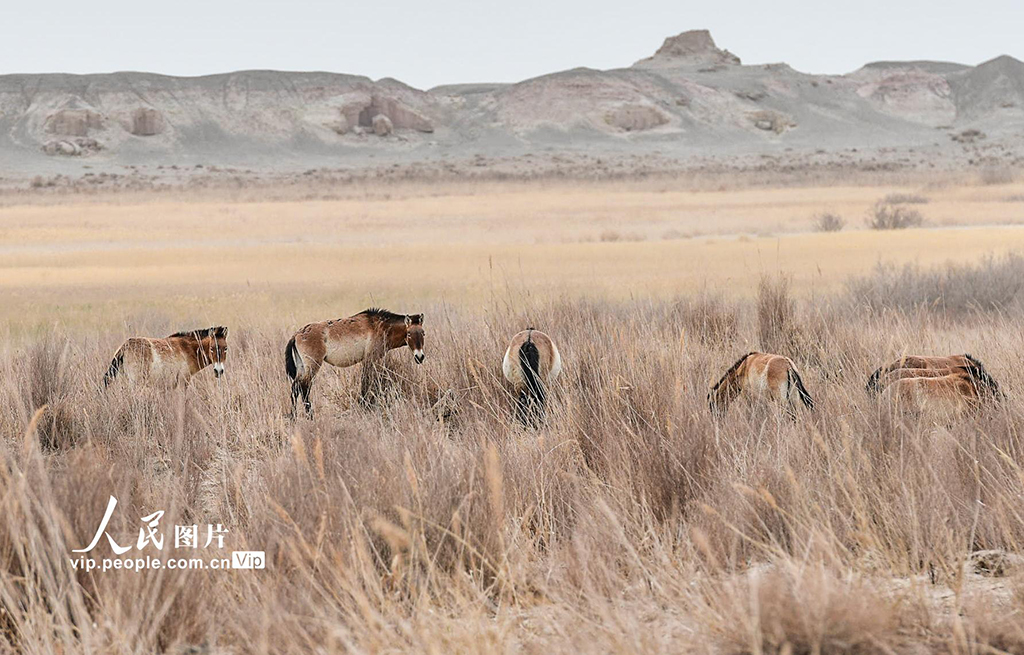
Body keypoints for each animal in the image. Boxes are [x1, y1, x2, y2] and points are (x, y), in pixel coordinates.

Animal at [284, 309, 423, 413]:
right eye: (409, 333)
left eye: (423, 333)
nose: (420, 357)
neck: (381, 326)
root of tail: (296, 335)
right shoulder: (370, 359)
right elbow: (366, 381)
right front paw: (364, 405)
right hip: (312, 366)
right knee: (304, 387)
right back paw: (309, 416)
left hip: (302, 368)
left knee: (295, 388)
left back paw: (294, 417)